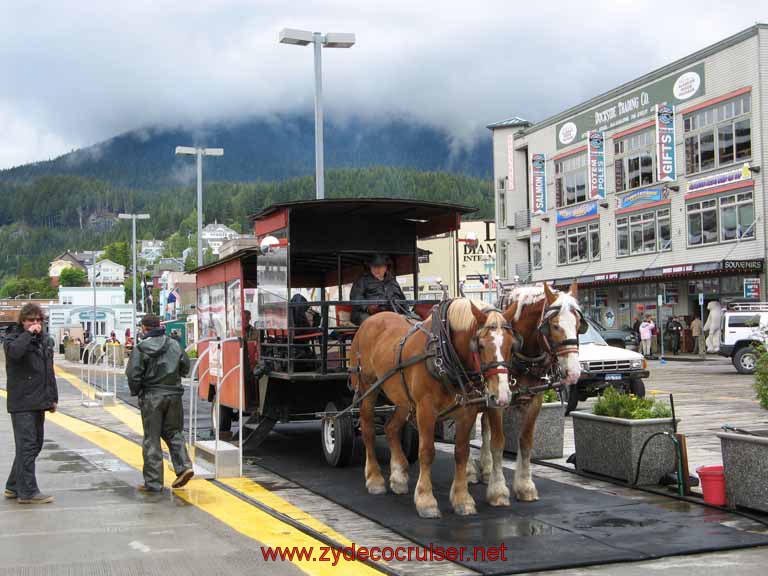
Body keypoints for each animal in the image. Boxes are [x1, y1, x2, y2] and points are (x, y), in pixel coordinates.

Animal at [352, 300, 520, 520]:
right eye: (481, 345)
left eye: (511, 345)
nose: (501, 395)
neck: (442, 351)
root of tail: (371, 320)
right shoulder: (425, 409)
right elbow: (427, 452)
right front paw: (426, 500)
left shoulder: (467, 411)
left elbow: (462, 452)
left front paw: (462, 499)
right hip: (368, 388)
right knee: (368, 430)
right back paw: (375, 479)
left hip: (403, 399)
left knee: (390, 428)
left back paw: (398, 477)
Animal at [472, 282, 584, 502]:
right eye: (554, 326)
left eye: (578, 325)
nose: (574, 372)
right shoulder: (496, 401)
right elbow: (498, 442)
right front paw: (498, 490)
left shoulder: (534, 400)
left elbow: (525, 441)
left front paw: (524, 486)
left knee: (483, 424)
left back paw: (486, 469)